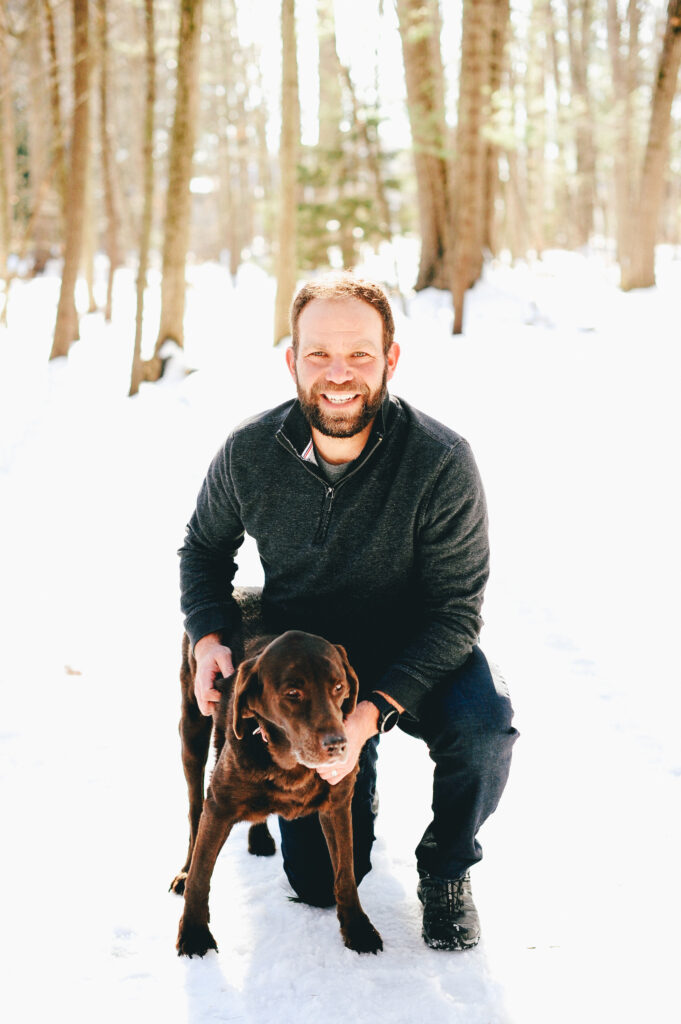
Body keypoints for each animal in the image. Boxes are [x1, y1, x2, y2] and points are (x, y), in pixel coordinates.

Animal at [169, 626, 382, 954]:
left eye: (338, 687)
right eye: (293, 694)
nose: (337, 745)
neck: (291, 767)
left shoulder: (337, 803)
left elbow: (345, 873)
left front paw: (358, 928)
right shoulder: (218, 807)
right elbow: (200, 877)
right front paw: (194, 934)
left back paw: (259, 836)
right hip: (193, 727)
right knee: (194, 811)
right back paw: (186, 867)